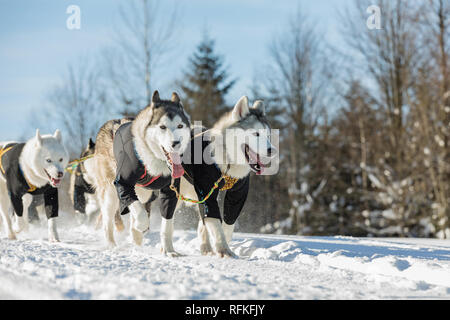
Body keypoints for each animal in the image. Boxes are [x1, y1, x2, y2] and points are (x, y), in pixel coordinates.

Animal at [92, 90, 191, 252]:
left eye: (180, 125)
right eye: (162, 127)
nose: (176, 143)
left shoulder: (170, 192)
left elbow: (167, 224)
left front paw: (169, 250)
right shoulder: (123, 184)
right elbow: (140, 214)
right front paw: (140, 226)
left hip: (143, 193)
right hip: (110, 194)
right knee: (109, 221)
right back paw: (113, 244)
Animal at [179, 96, 278, 256]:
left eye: (268, 135)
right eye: (256, 134)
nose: (272, 150)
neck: (228, 161)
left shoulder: (238, 193)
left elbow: (228, 221)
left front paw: (223, 243)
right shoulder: (206, 191)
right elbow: (214, 221)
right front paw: (223, 249)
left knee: (202, 224)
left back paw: (206, 247)